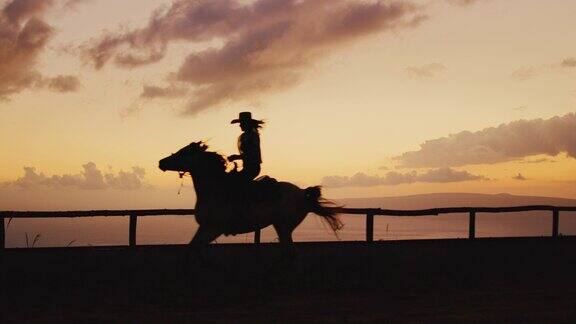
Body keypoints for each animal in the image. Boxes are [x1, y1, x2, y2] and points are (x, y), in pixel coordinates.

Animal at [158, 142, 342, 260]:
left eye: (184, 152)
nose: (161, 162)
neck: (215, 190)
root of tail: (302, 193)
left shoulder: (214, 229)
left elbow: (197, 249)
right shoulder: (204, 227)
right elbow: (192, 249)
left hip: (284, 226)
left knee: (290, 252)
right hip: (281, 226)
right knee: (288, 251)